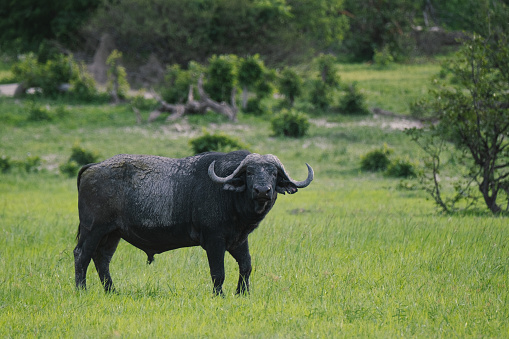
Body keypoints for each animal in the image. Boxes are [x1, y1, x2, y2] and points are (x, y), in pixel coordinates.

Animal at [74, 151, 314, 294]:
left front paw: (242, 293)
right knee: (82, 255)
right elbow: (218, 272)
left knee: (102, 259)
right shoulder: (214, 241)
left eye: (273, 173)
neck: (228, 196)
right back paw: (81, 289)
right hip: (93, 229)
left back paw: (112, 291)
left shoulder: (238, 240)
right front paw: (220, 295)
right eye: (249, 172)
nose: (262, 191)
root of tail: (94, 166)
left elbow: (246, 266)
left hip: (112, 234)